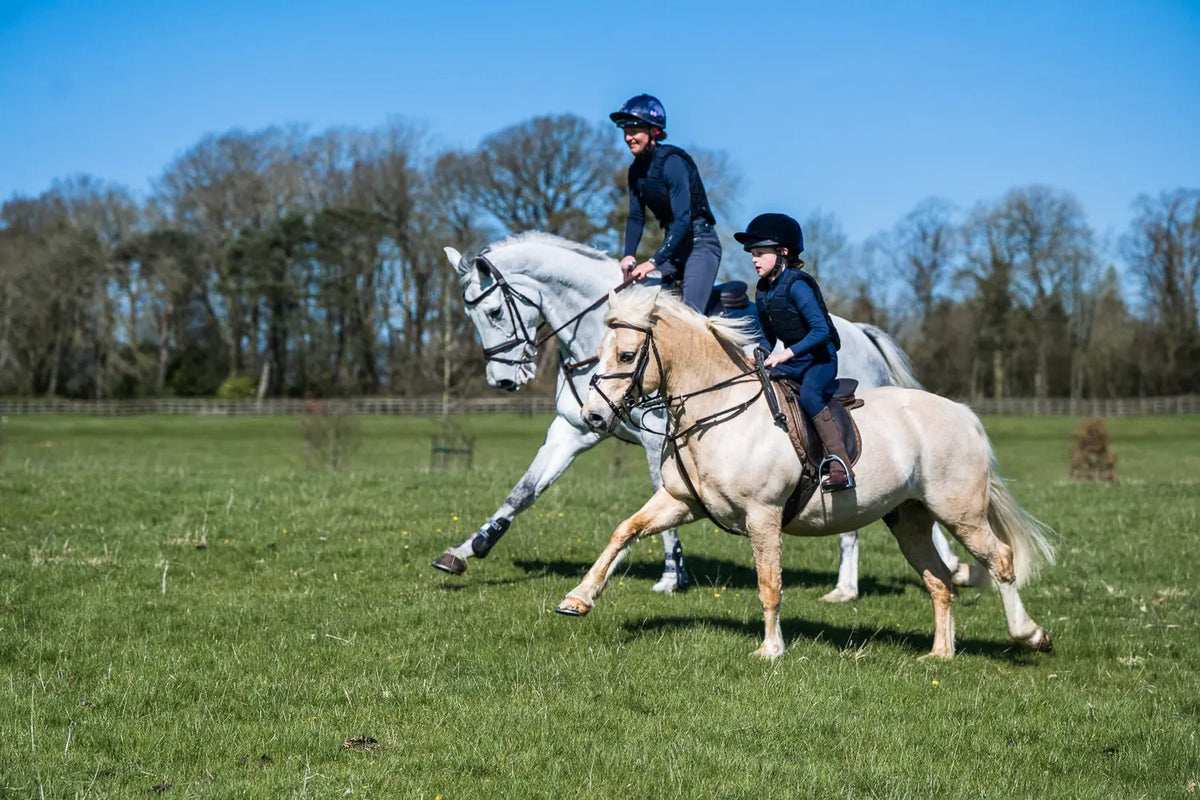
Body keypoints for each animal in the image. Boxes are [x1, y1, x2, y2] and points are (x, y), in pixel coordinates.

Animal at [431, 231, 977, 599]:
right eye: (470, 314)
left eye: (493, 312)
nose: (504, 380)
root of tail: (858, 331)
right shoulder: (573, 431)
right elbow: (522, 493)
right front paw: (466, 551)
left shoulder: (658, 441)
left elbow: (662, 505)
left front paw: (673, 574)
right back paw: (950, 569)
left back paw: (852, 587)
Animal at [556, 288, 1055, 660]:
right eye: (597, 354)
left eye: (626, 356)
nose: (594, 417)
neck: (718, 411)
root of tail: (963, 414)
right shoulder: (682, 503)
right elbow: (624, 531)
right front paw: (578, 598)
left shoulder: (763, 516)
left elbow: (769, 583)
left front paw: (771, 650)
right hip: (909, 519)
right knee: (938, 579)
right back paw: (940, 653)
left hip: (959, 512)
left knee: (1000, 560)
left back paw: (1030, 635)